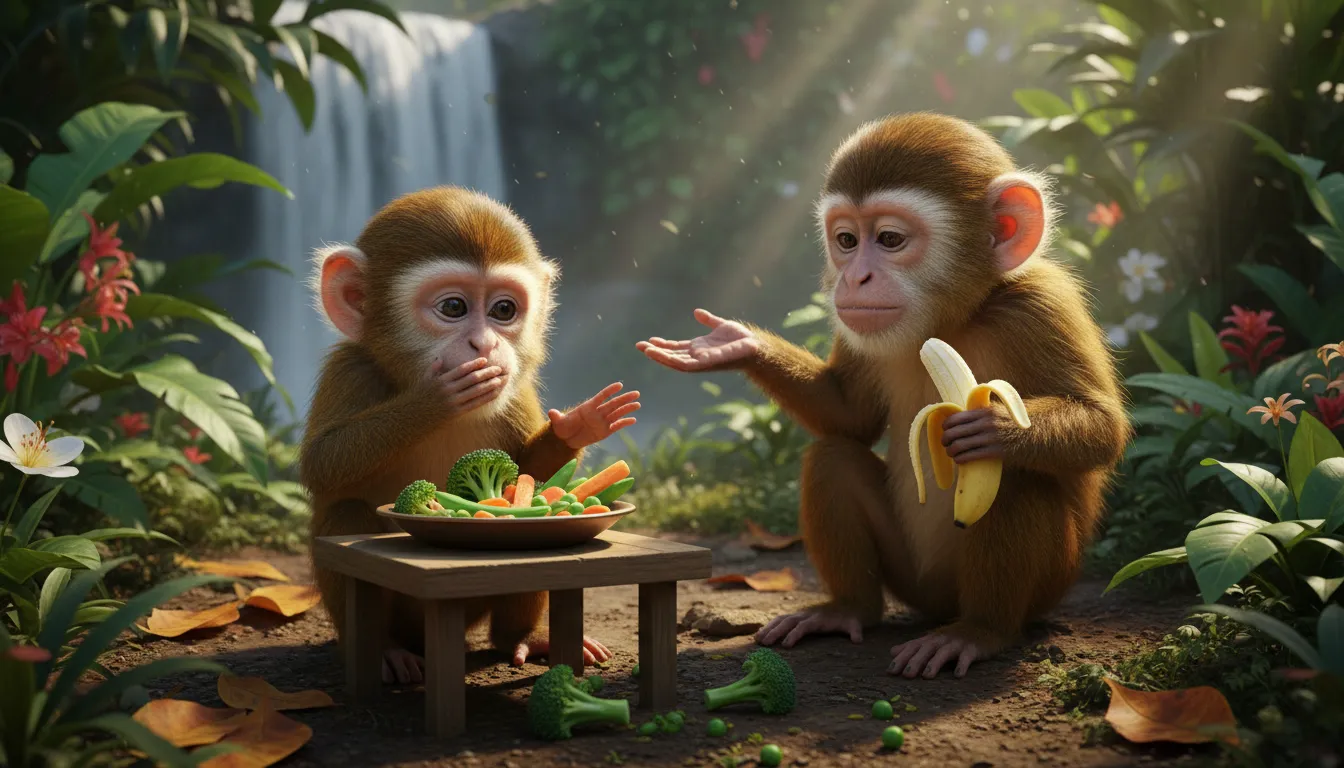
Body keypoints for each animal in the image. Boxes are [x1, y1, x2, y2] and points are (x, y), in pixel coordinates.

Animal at [300, 186, 640, 684]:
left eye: (503, 310)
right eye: (454, 308)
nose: (485, 344)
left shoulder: (517, 387)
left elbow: (527, 473)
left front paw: (580, 424)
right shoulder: (350, 369)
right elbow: (321, 466)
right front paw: (435, 398)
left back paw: (523, 637)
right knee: (347, 513)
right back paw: (384, 650)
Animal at [638, 112, 1128, 679]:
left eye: (889, 238)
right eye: (847, 240)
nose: (854, 277)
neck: (953, 321)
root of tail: (939, 607)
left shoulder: (1040, 305)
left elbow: (1103, 429)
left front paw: (996, 425)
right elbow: (849, 418)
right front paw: (734, 344)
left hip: (1046, 586)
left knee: (1013, 476)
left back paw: (980, 631)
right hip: (911, 578)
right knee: (833, 458)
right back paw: (849, 609)